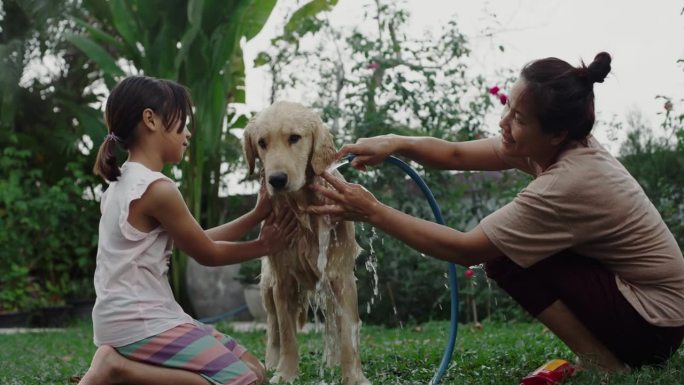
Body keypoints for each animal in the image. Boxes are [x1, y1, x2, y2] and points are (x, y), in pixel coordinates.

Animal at [244, 100, 372, 382]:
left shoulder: (340, 275)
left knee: (333, 323)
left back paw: (332, 361)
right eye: (262, 142)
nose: (276, 180)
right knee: (273, 325)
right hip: (267, 285)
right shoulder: (282, 280)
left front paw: (353, 376)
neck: (302, 207)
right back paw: (272, 362)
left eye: (294, 138)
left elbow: (348, 332)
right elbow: (287, 333)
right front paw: (285, 374)